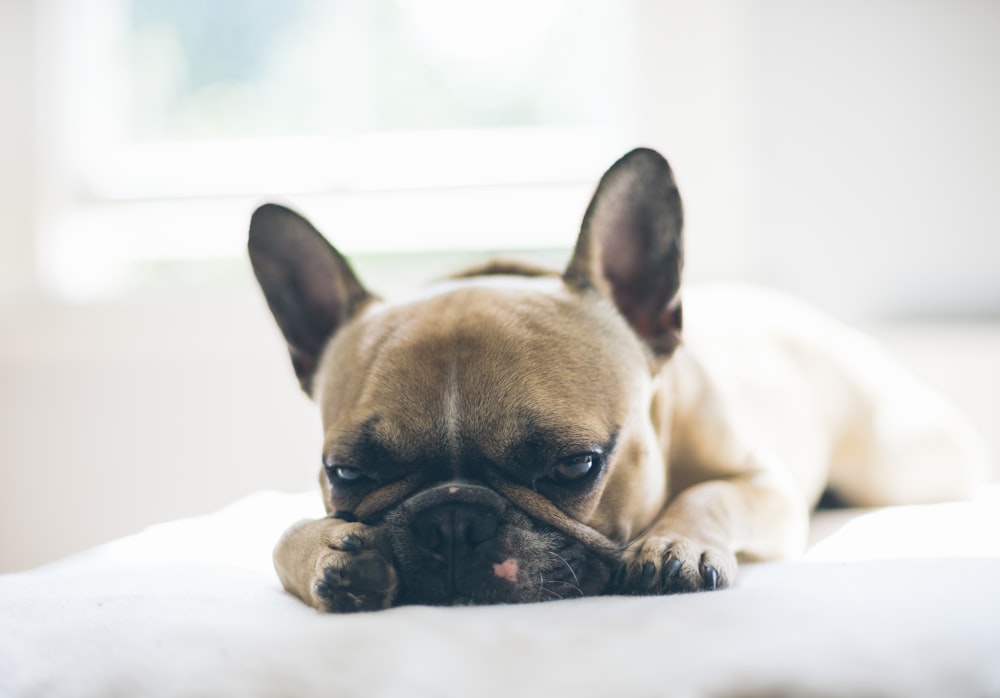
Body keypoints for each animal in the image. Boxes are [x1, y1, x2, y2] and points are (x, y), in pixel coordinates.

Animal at [248, 147, 984, 608]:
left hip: (898, 463)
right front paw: (325, 554)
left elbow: (711, 495)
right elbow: (279, 536)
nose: (453, 521)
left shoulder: (764, 487)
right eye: (346, 473)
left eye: (575, 466)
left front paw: (672, 543)